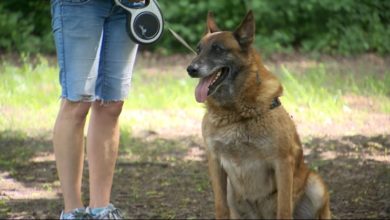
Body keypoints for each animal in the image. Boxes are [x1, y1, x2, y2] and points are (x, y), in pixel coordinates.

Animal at [187, 10, 330, 220]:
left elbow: (284, 209)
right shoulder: (215, 161)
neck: (235, 113)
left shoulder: (282, 162)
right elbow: (220, 207)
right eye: (198, 50)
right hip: (231, 191)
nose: (190, 69)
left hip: (315, 184)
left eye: (218, 49)